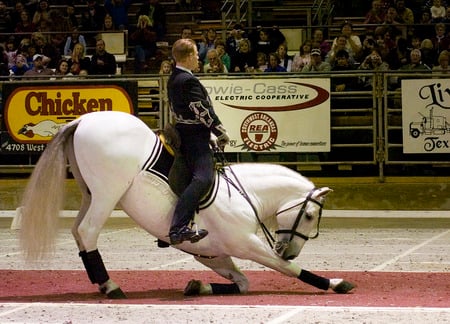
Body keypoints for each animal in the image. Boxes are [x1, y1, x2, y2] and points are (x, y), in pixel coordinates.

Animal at [19, 110, 354, 298]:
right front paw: (335, 283)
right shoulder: (247, 244)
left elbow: (243, 283)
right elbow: (288, 269)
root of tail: (81, 119)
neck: (245, 195)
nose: (290, 248)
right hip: (106, 194)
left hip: (90, 193)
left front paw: (197, 287)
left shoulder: (212, 254)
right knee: (87, 232)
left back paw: (102, 283)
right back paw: (111, 286)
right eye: (309, 216)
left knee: (77, 231)